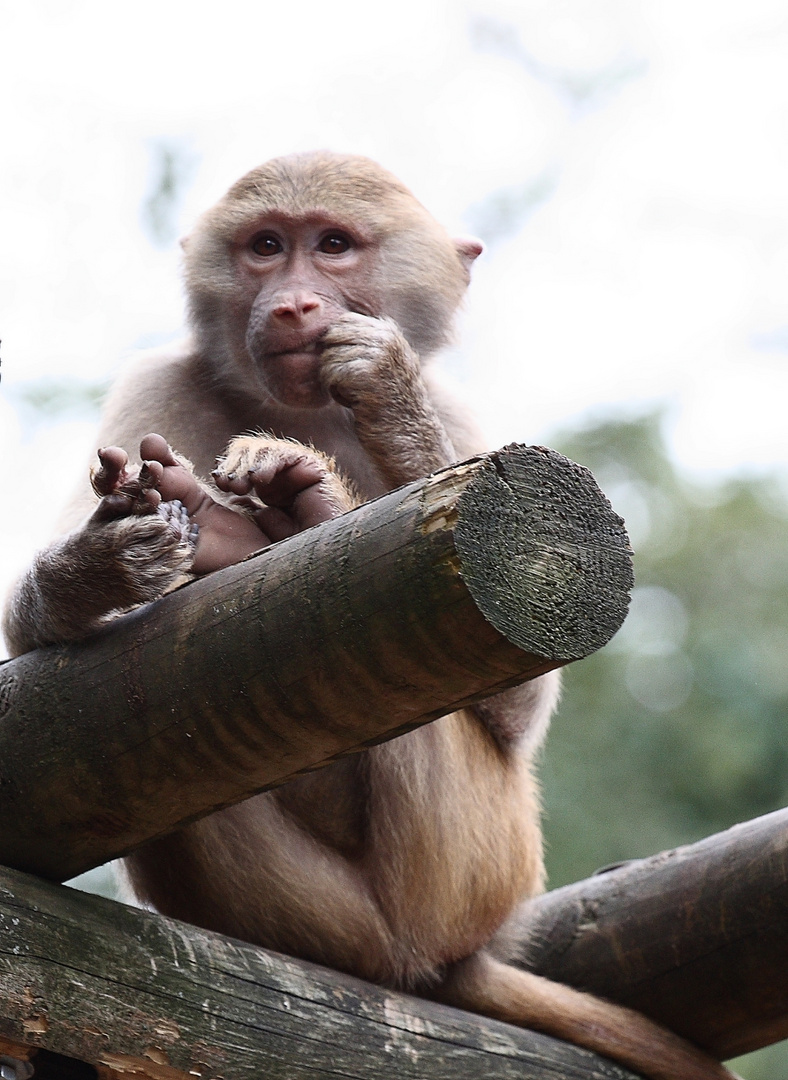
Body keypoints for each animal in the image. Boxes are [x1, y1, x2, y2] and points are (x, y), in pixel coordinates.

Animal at [1, 152, 738, 1080]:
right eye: (266, 247)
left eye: (334, 246)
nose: (294, 304)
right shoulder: (154, 384)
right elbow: (32, 651)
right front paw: (98, 569)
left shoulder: (464, 425)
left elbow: (517, 682)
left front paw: (385, 394)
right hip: (319, 915)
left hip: (479, 872)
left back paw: (302, 516)